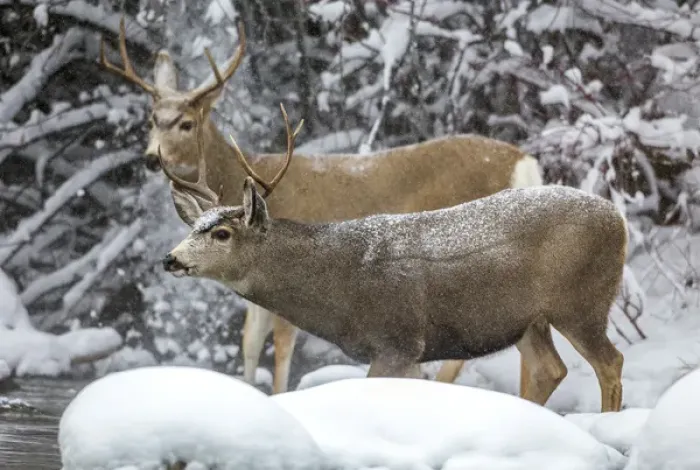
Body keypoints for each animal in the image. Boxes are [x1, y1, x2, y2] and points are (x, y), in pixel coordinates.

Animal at [100, 18, 545, 394]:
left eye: (186, 123)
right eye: (151, 118)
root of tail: (525, 162)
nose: (151, 158)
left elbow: (280, 347)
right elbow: (249, 342)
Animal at [160, 107, 627, 412]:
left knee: (610, 362)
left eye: (222, 233)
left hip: (581, 302)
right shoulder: (405, 353)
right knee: (550, 369)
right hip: (529, 320)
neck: (339, 285)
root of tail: (618, 219)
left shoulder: (397, 340)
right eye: (193, 226)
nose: (171, 259)